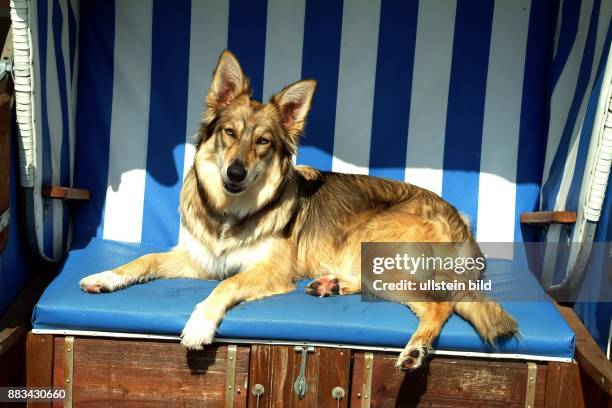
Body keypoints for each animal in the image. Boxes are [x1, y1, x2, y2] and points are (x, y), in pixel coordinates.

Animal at [80, 49, 516, 368]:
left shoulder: (269, 270)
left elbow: (227, 285)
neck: (232, 211)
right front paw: (106, 276)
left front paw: (200, 324)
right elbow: (145, 260)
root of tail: (461, 221)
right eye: (230, 133)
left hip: (378, 244)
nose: (235, 173)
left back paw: (416, 349)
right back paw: (331, 285)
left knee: (441, 304)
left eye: (263, 142)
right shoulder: (201, 261)